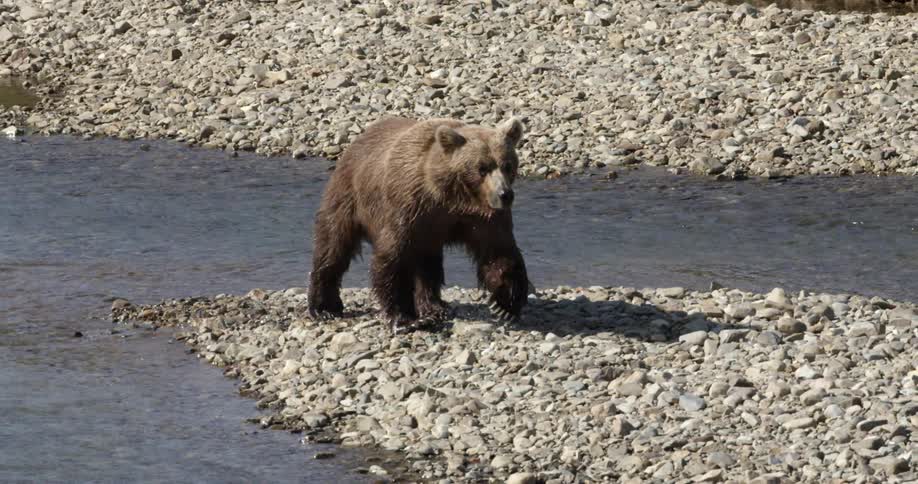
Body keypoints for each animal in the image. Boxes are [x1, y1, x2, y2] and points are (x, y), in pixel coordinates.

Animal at [307, 116, 530, 331]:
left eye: (507, 165)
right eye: (482, 168)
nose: (505, 194)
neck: (451, 196)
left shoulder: (481, 217)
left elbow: (498, 251)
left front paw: (505, 305)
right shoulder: (408, 207)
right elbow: (393, 258)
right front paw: (404, 318)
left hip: (428, 235)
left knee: (428, 264)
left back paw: (434, 306)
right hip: (348, 195)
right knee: (334, 244)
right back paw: (324, 307)